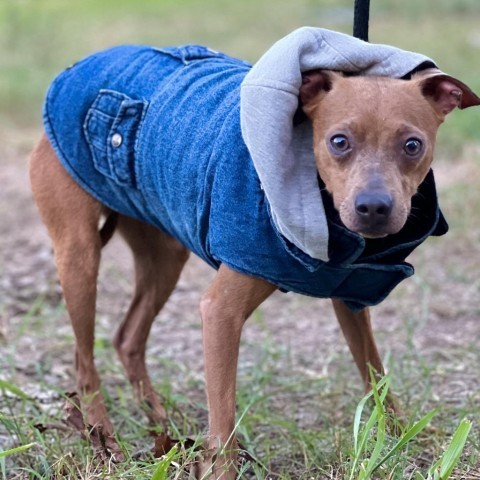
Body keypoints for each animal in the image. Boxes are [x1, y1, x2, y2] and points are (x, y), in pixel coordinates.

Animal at [31, 29, 480, 476]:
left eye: (412, 145)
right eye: (338, 141)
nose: (373, 207)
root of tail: (78, 66)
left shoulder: (349, 297)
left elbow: (375, 376)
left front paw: (406, 440)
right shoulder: (220, 312)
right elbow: (223, 421)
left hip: (163, 256)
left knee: (127, 338)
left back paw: (163, 427)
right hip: (80, 256)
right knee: (84, 360)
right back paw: (104, 440)